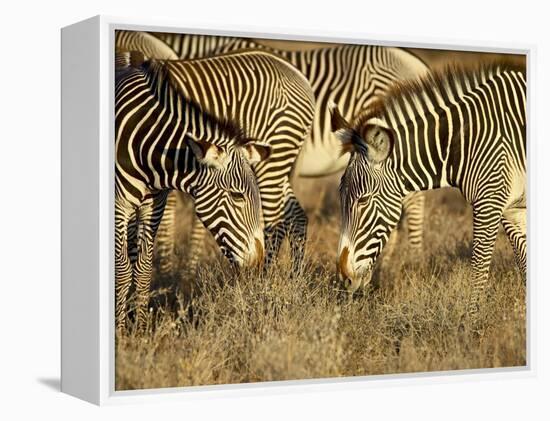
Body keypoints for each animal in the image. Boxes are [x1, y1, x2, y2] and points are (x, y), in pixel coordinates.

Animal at [116, 50, 314, 328]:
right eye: (237, 196)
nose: (255, 262)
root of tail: (298, 74)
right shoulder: (121, 204)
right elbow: (125, 267)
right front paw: (125, 328)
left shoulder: (152, 204)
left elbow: (141, 265)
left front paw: (136, 327)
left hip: (275, 159)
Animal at [334, 60, 528, 316]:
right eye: (340, 198)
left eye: (363, 200)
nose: (344, 279)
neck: (465, 140)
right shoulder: (511, 209)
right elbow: (524, 264)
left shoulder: (490, 202)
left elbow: (479, 267)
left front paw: (471, 323)